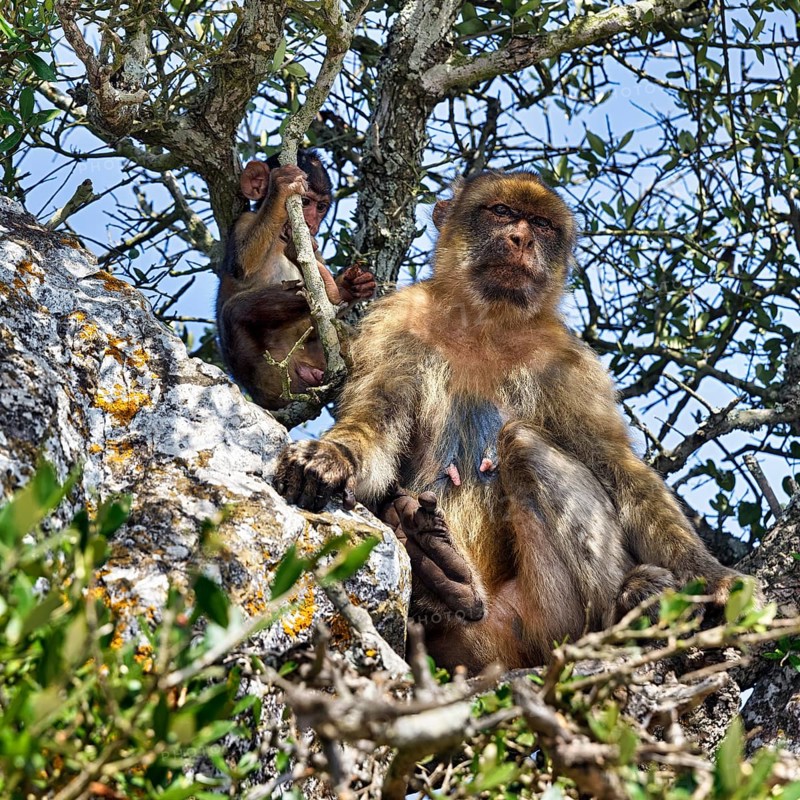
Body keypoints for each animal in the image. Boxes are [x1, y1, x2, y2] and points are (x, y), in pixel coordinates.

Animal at [216, 149, 376, 410]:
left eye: (321, 207)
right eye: (305, 202)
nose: (310, 223)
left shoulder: (313, 249)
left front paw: (352, 286)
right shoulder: (244, 221)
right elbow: (242, 265)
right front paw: (281, 186)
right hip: (264, 373)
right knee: (235, 309)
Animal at [273, 169, 750, 674]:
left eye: (541, 224)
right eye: (501, 212)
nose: (521, 238)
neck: (486, 322)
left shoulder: (568, 363)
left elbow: (617, 467)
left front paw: (711, 576)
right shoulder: (396, 322)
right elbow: (375, 425)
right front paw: (334, 455)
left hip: (549, 621)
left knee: (523, 443)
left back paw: (622, 606)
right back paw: (443, 579)